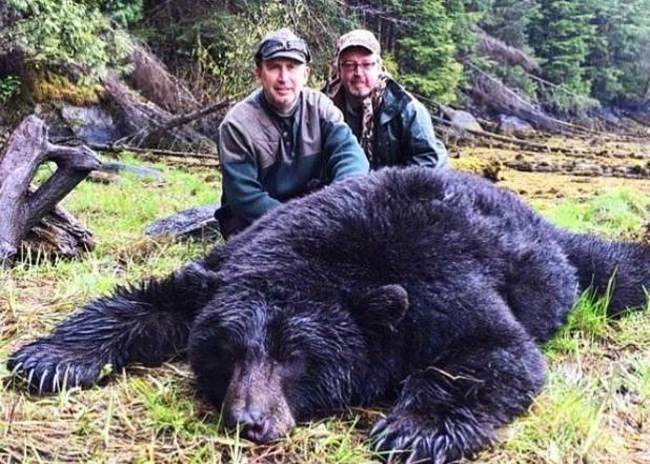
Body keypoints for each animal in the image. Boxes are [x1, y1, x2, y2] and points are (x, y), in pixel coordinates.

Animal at [7, 167, 650, 463]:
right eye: (229, 351)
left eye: (296, 357)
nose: (248, 421)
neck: (323, 259)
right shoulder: (232, 263)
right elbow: (154, 298)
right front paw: (51, 357)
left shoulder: (441, 284)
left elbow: (494, 350)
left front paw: (411, 429)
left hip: (565, 268)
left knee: (613, 271)